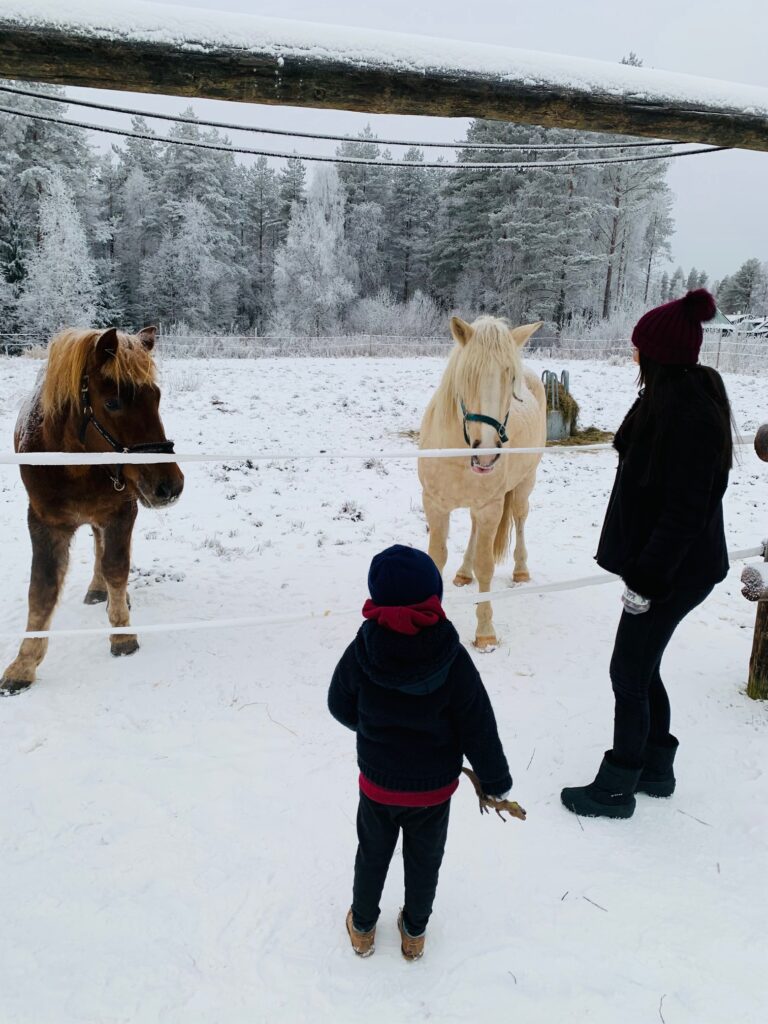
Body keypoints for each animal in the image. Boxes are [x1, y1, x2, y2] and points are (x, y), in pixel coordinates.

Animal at [1, 326, 184, 695]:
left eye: (156, 396)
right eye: (112, 403)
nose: (169, 486)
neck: (72, 462)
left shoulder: (121, 512)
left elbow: (116, 567)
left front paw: (122, 634)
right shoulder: (44, 523)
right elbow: (41, 590)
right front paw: (23, 664)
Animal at [418, 315, 546, 650]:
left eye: (510, 378)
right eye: (468, 376)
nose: (486, 453)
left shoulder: (491, 507)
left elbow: (486, 565)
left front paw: (485, 632)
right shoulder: (435, 505)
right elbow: (436, 558)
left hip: (524, 485)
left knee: (520, 518)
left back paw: (521, 571)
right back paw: (464, 573)